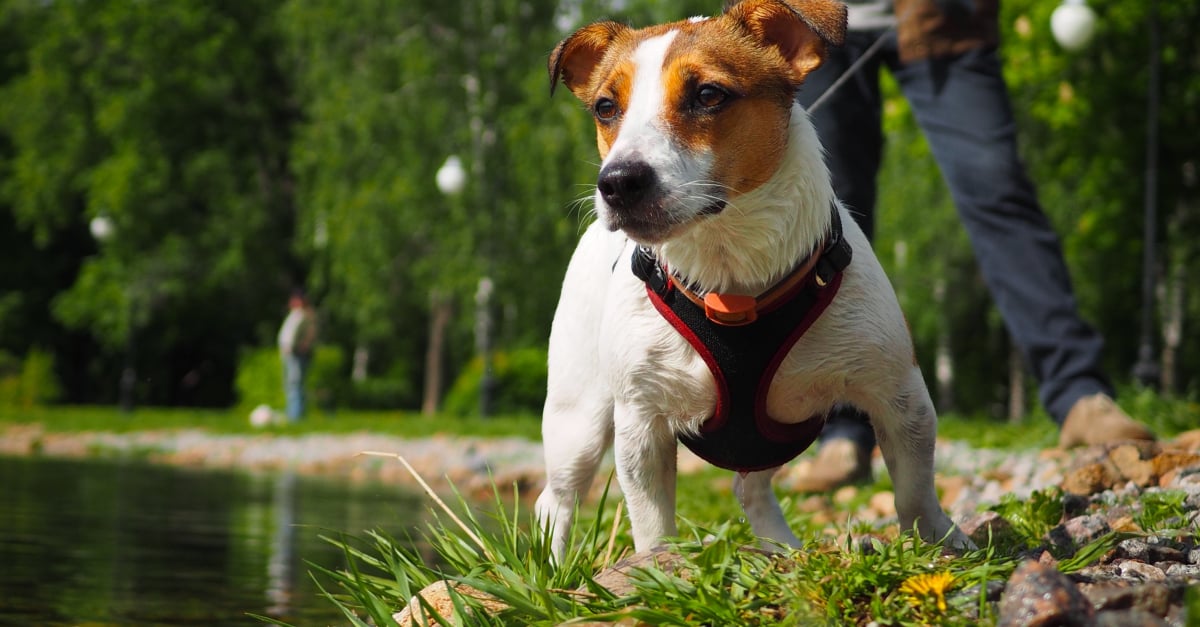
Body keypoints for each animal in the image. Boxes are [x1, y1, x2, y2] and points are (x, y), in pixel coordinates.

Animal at [540, 0, 969, 557]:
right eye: (606, 107)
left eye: (707, 95)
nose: (616, 182)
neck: (731, 277)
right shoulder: (642, 422)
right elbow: (652, 524)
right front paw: (656, 566)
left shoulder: (898, 392)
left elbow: (915, 486)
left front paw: (939, 539)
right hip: (579, 420)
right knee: (556, 500)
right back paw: (550, 567)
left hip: (772, 433)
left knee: (751, 488)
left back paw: (782, 546)